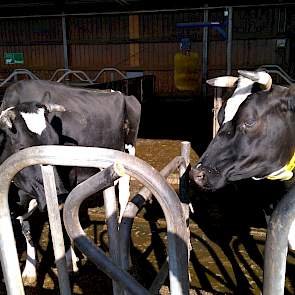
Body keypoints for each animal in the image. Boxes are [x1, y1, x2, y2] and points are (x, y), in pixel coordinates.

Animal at [0, 79, 142, 286]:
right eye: (21, 148)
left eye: (56, 143)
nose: (59, 193)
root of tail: (120, 93)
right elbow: (27, 229)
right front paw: (29, 271)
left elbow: (58, 220)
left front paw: (69, 260)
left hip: (127, 156)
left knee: (124, 201)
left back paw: (126, 257)